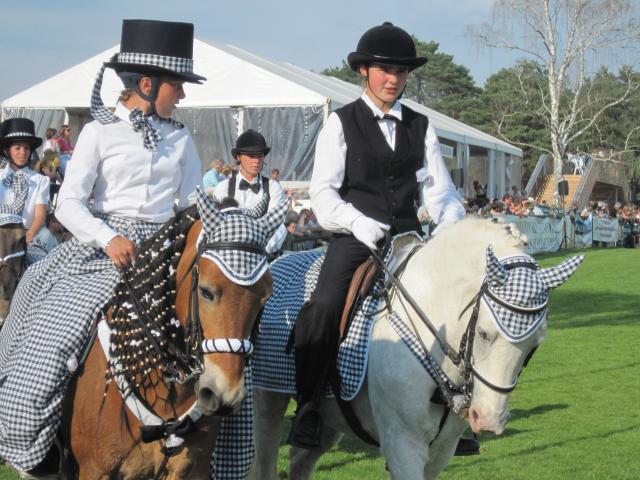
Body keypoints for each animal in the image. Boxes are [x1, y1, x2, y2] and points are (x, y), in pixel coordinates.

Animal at [252, 218, 584, 480]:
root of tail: (277, 262)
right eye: (484, 334)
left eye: (534, 346)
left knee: (300, 460)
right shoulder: (404, 444)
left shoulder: (442, 449)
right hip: (268, 401)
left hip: (329, 417)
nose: (490, 420)